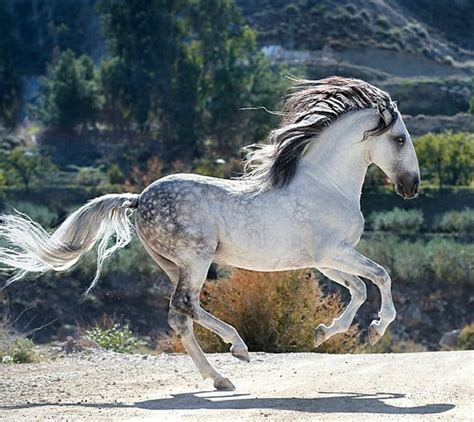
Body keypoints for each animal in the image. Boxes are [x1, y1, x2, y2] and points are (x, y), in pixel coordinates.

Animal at [1, 76, 420, 390]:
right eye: (399, 138)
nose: (411, 186)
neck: (324, 184)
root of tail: (139, 198)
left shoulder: (327, 260)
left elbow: (359, 288)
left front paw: (322, 332)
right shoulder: (333, 253)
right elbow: (380, 276)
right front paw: (376, 330)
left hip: (174, 264)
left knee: (184, 314)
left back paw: (223, 372)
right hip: (196, 258)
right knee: (184, 307)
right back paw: (233, 357)